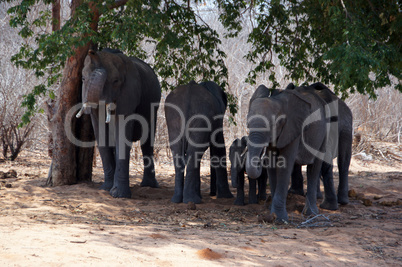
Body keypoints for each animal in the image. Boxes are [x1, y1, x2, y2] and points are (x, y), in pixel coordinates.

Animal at [76, 48, 161, 199]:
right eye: (83, 79)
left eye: (116, 81)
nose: (92, 51)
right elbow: (101, 134)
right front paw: (105, 189)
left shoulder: (128, 95)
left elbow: (122, 133)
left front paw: (118, 194)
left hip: (153, 107)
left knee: (147, 142)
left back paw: (149, 186)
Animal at [245, 85, 330, 223]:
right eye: (247, 124)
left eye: (274, 124)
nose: (260, 157)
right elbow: (272, 163)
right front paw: (271, 215)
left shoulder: (293, 128)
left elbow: (284, 164)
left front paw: (280, 219)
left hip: (325, 131)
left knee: (314, 167)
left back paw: (311, 214)